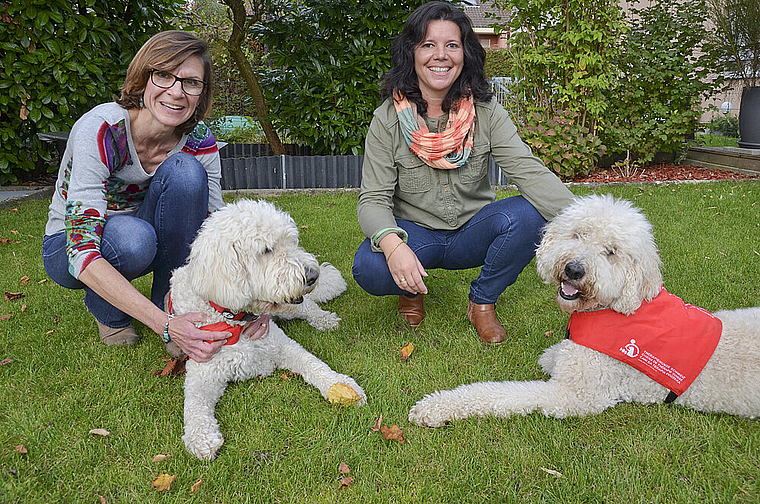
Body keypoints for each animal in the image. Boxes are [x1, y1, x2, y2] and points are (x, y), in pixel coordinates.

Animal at [169, 199, 366, 458]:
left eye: (292, 241)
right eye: (266, 250)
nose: (313, 275)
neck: (234, 317)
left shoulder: (283, 346)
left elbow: (314, 364)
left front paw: (341, 385)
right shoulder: (202, 372)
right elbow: (193, 404)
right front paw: (201, 438)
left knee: (308, 307)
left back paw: (324, 320)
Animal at [410, 193, 760, 426]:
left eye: (611, 252)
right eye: (578, 234)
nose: (574, 269)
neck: (613, 308)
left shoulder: (575, 394)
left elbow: (501, 393)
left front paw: (434, 408)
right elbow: (553, 355)